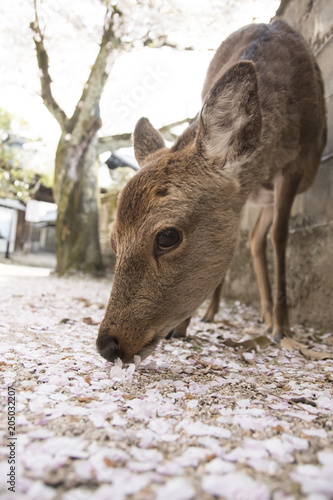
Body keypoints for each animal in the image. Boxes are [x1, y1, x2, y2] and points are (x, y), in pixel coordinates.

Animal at [96, 19, 324, 364]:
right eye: (113, 241)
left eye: (167, 236)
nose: (108, 346)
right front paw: (184, 324)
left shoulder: (296, 166)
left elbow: (281, 236)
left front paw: (283, 328)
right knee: (252, 236)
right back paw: (211, 314)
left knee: (260, 236)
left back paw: (269, 320)